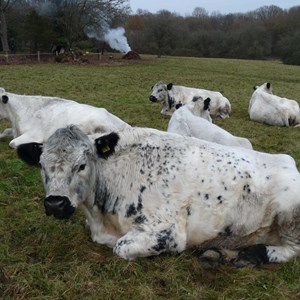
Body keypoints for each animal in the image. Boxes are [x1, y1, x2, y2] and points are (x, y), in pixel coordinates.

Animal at [17, 125, 300, 266]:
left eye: (82, 165)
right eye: (41, 164)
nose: (56, 203)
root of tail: (289, 162)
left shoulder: (168, 231)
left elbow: (121, 247)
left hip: (289, 214)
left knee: (293, 249)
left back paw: (256, 254)